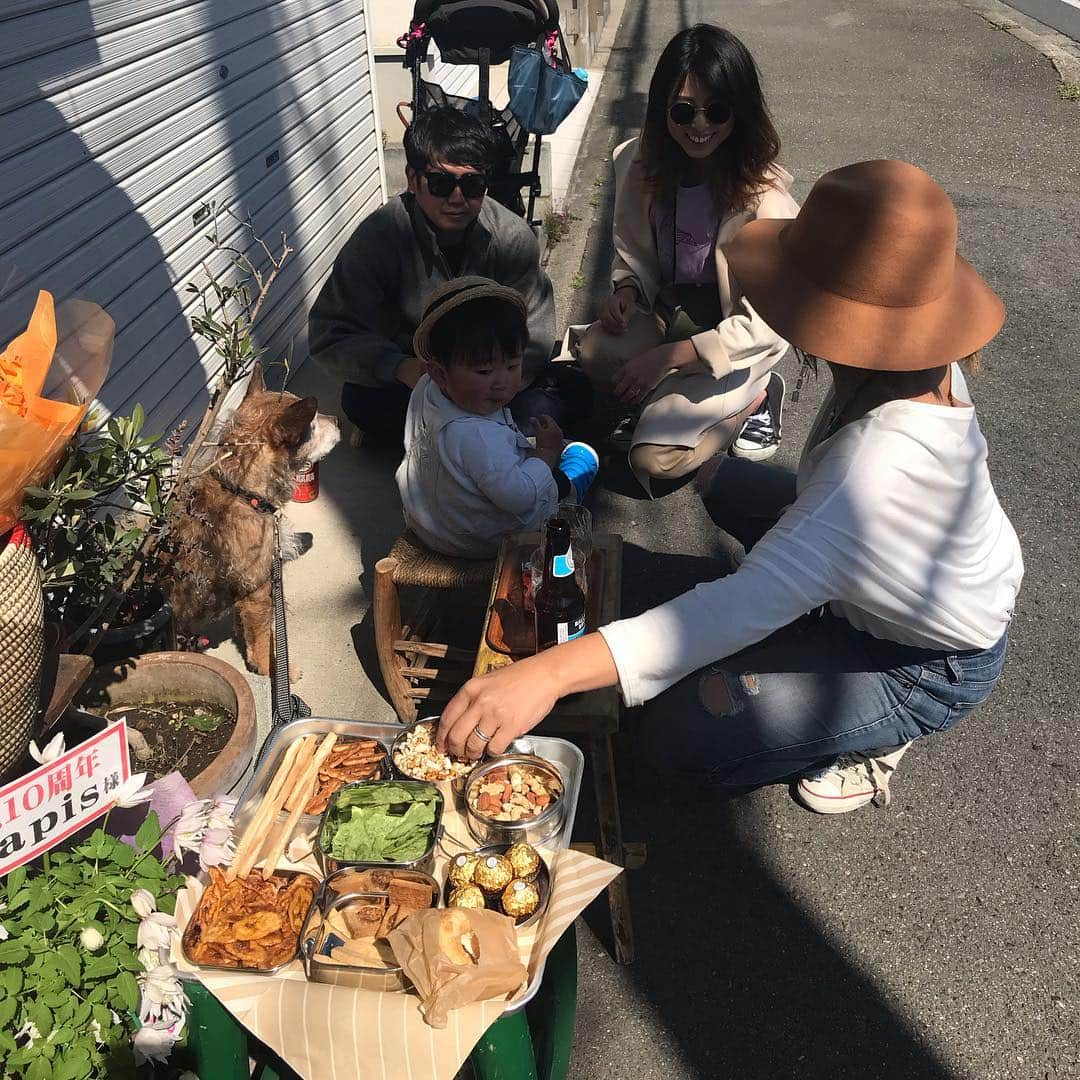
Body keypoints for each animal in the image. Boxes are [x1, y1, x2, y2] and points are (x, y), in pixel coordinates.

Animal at [165, 367, 336, 678]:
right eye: (314, 424)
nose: (339, 420)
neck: (242, 492)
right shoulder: (259, 591)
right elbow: (263, 638)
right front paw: (274, 668)